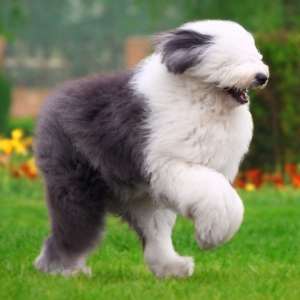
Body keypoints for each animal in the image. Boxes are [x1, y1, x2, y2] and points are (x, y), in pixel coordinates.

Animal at [34, 19, 270, 278]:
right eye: (230, 61)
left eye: (254, 56)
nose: (262, 76)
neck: (199, 98)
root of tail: (54, 98)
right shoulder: (171, 164)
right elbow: (216, 194)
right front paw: (210, 236)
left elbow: (222, 195)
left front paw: (211, 233)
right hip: (77, 186)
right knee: (72, 229)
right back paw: (63, 270)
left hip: (144, 198)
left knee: (154, 235)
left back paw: (173, 268)